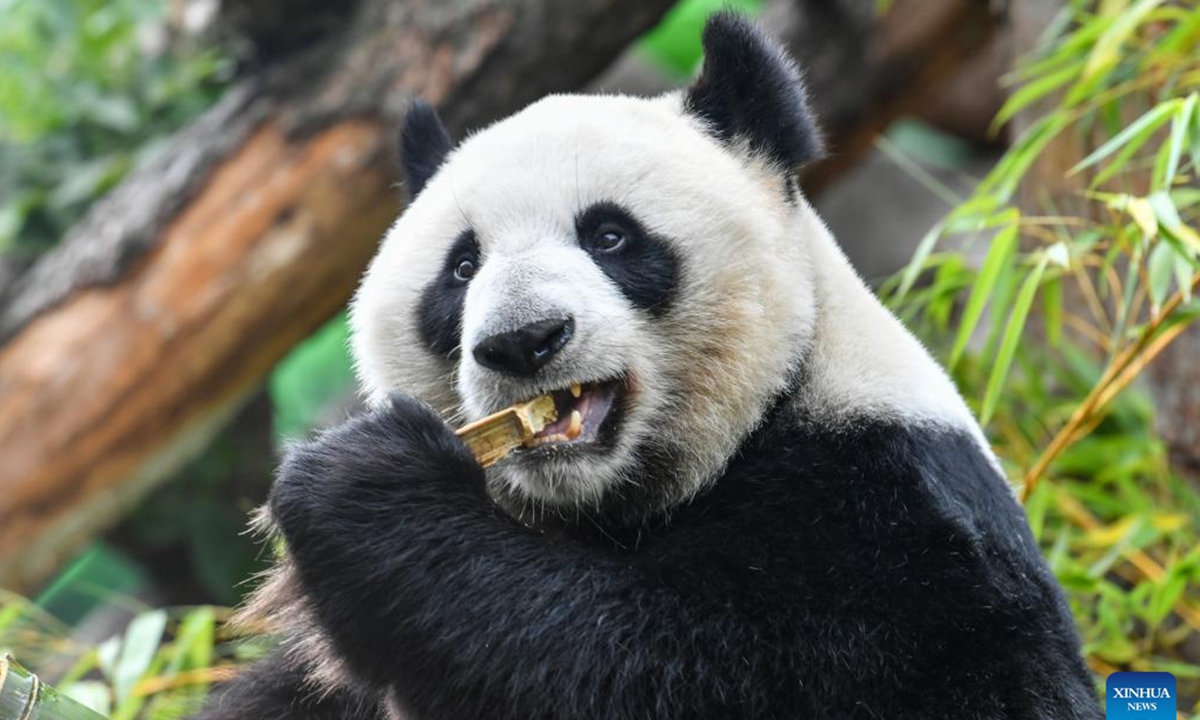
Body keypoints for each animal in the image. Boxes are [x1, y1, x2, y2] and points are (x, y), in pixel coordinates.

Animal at [196, 11, 1104, 720]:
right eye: (461, 267)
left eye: (610, 236)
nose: (524, 340)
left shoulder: (901, 540)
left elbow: (648, 666)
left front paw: (360, 484)